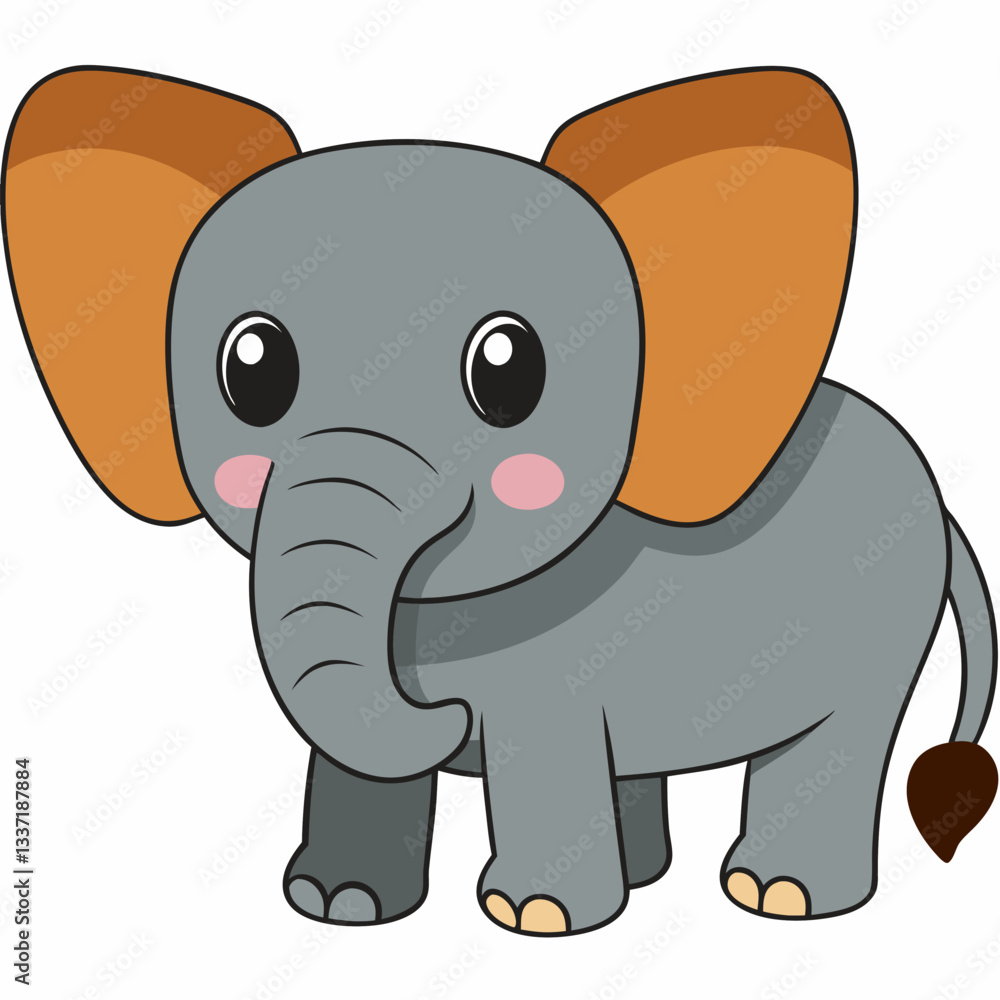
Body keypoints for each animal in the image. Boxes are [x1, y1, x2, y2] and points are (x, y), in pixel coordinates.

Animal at [5, 64, 997, 936]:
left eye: (507, 371)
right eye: (251, 371)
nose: (444, 716)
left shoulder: (554, 668)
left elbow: (541, 748)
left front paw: (537, 918)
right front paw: (338, 906)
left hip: (883, 617)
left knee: (839, 740)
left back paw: (779, 896)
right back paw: (652, 874)